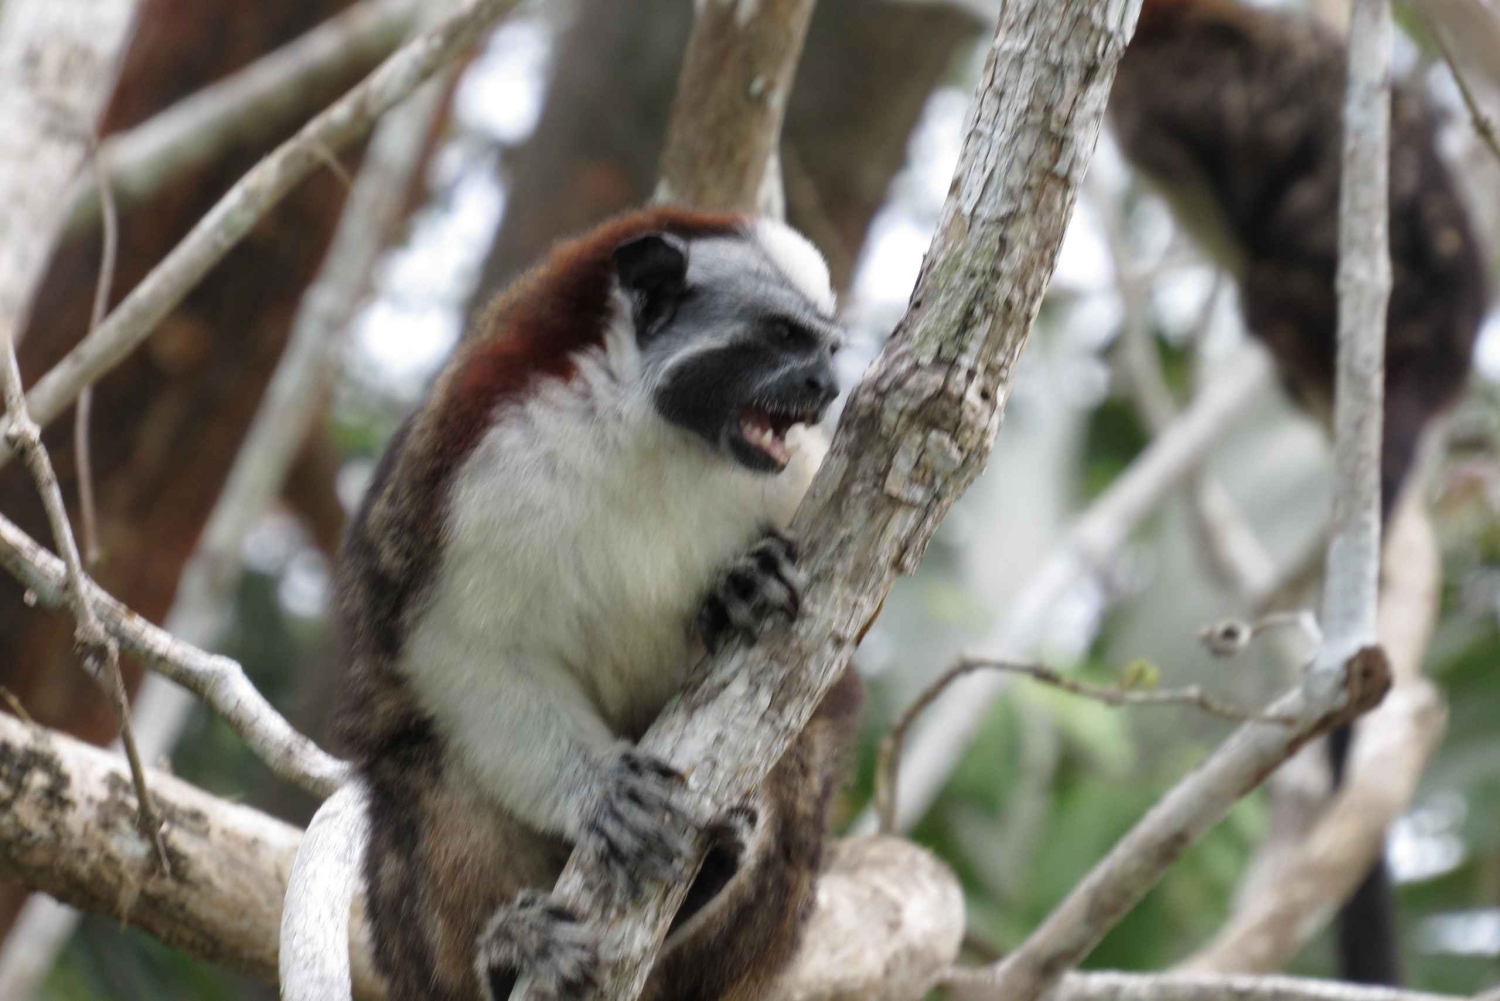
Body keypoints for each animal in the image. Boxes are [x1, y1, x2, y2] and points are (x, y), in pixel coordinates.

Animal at [327, 207, 863, 1001]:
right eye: (781, 335)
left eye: (826, 348)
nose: (826, 387)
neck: (654, 434)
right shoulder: (483, 472)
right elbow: (466, 651)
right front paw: (602, 793)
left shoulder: (801, 474)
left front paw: (737, 591)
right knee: (430, 770)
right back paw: (506, 958)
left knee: (803, 748)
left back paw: (707, 881)